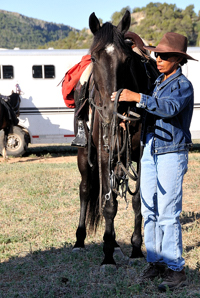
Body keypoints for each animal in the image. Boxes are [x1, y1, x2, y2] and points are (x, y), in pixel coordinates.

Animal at [72, 10, 159, 266]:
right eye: (93, 57)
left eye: (127, 59)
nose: (111, 110)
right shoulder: (103, 153)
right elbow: (108, 204)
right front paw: (108, 255)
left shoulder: (140, 155)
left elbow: (138, 201)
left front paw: (136, 248)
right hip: (84, 153)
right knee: (85, 189)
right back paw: (80, 240)